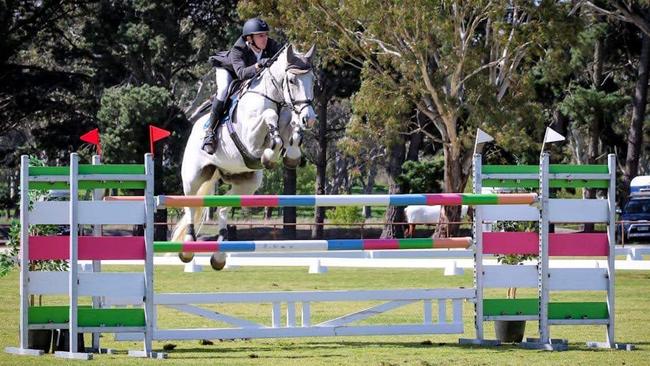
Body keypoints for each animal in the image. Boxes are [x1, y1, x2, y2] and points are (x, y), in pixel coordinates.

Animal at [171, 45, 316, 268]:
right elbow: (269, 117)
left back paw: (219, 257)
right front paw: (269, 155)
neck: (275, 98)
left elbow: (291, 128)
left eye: (313, 80)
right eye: (292, 80)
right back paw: (188, 247)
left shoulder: (286, 123)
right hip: (193, 177)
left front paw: (290, 154)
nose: (309, 118)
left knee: (222, 208)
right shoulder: (250, 138)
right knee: (190, 206)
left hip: (246, 183)